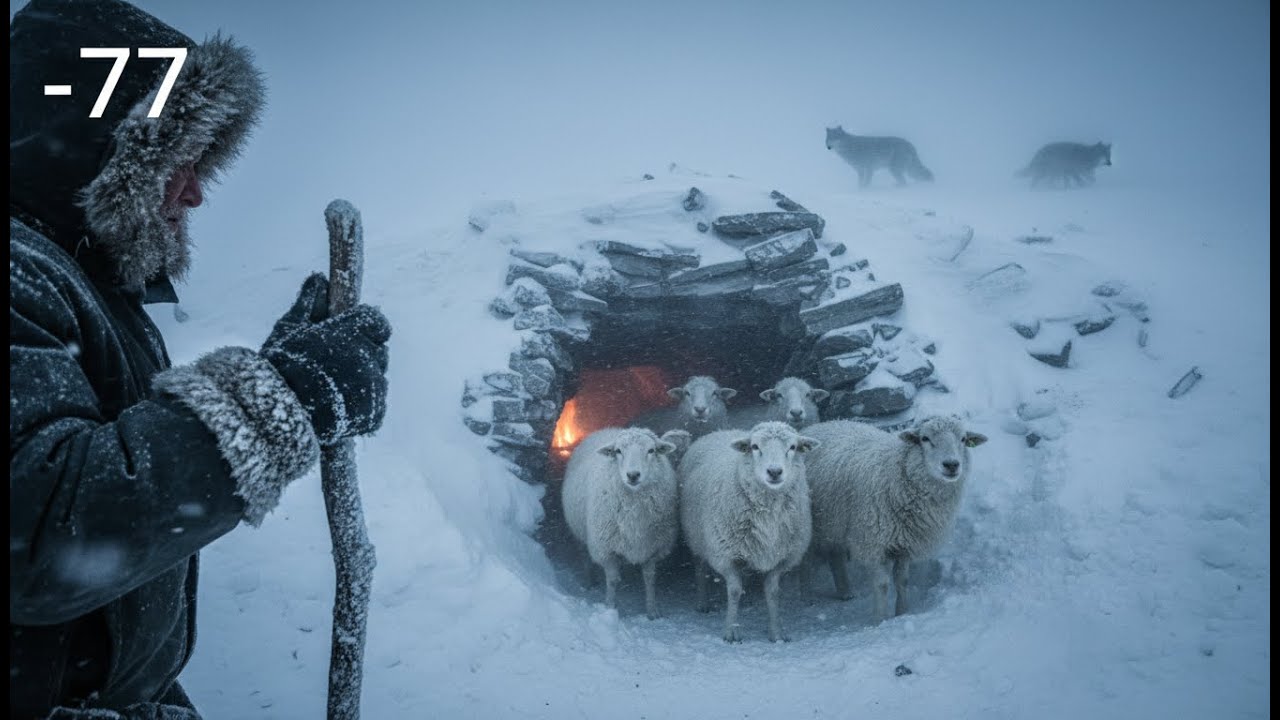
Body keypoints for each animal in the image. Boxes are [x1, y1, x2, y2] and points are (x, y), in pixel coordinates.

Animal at [561, 426, 691, 619]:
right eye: (618, 451)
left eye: (651, 450)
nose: (633, 475)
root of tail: (607, 430)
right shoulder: (606, 550)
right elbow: (613, 580)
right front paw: (609, 607)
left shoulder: (652, 548)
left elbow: (650, 579)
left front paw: (652, 611)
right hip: (581, 533)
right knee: (585, 555)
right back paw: (589, 580)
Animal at [679, 421, 819, 642]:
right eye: (754, 447)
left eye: (793, 447)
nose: (774, 471)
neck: (768, 511)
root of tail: (722, 431)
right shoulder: (726, 556)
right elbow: (735, 591)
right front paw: (731, 631)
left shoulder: (781, 558)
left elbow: (773, 593)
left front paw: (776, 632)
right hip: (697, 539)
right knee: (700, 569)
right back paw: (702, 603)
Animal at [802, 415, 987, 621]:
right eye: (925, 438)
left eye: (963, 439)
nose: (951, 464)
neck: (900, 471)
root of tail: (823, 423)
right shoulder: (873, 543)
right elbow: (882, 585)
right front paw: (880, 619)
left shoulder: (905, 543)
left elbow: (902, 581)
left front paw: (902, 612)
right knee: (824, 557)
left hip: (835, 521)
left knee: (835, 555)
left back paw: (845, 592)